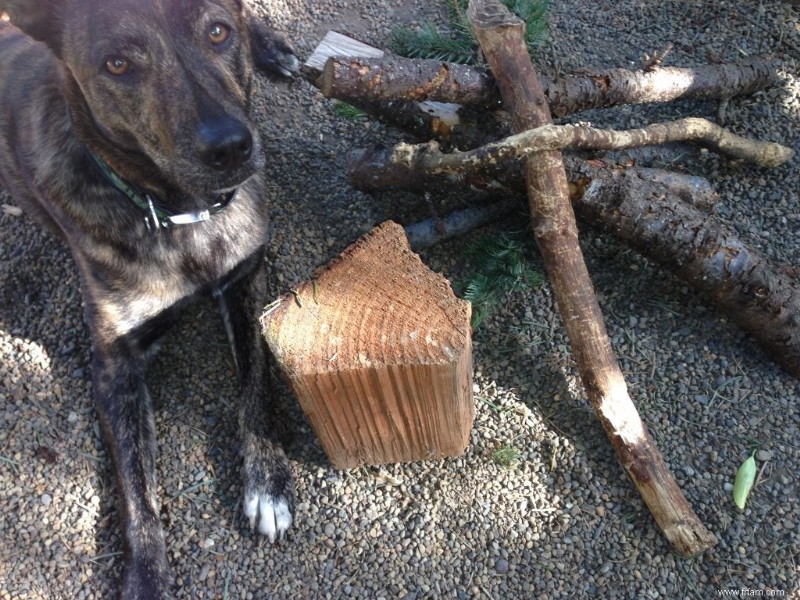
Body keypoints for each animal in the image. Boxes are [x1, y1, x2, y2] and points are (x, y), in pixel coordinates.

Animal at [0, 0, 300, 596]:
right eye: (118, 64)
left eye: (217, 32)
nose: (230, 146)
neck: (183, 215)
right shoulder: (114, 364)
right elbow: (136, 486)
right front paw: (147, 575)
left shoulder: (245, 281)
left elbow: (257, 381)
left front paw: (268, 479)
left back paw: (274, 47)